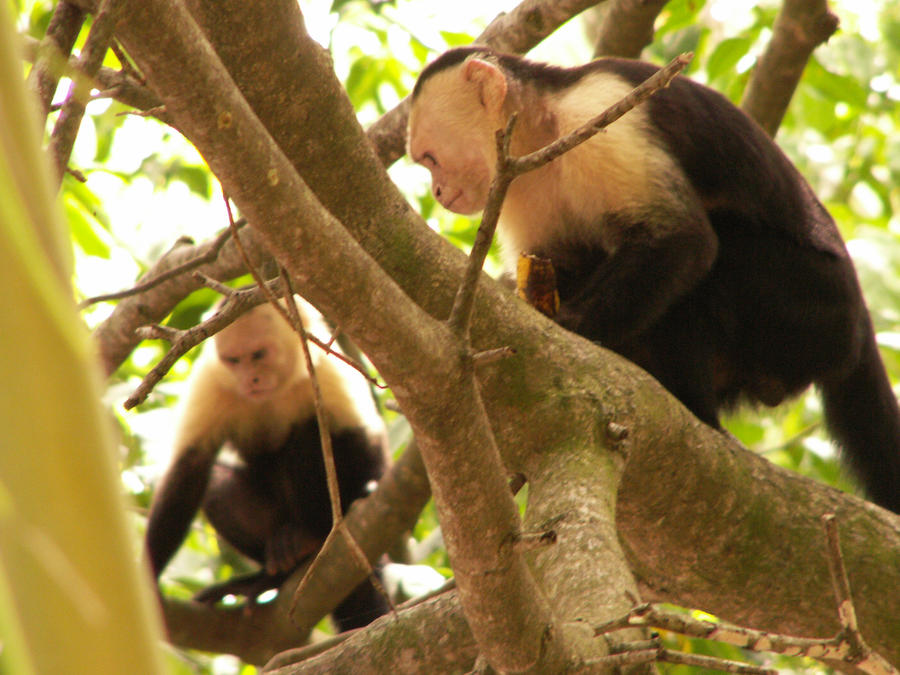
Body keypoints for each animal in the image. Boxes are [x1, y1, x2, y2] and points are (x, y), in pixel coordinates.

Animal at [144, 298, 390, 630]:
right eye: (234, 360)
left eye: (258, 355)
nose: (252, 379)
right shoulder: (212, 380)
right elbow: (189, 468)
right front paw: (147, 573)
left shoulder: (328, 369)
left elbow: (366, 439)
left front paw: (367, 492)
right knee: (217, 482)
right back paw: (271, 577)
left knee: (309, 432)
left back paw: (312, 536)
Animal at [407, 46, 900, 513]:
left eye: (430, 158)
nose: (437, 192)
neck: (542, 133)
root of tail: (860, 322)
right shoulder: (515, 189)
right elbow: (556, 262)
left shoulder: (596, 114)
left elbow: (681, 238)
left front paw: (570, 327)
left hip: (816, 309)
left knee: (718, 270)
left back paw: (700, 414)